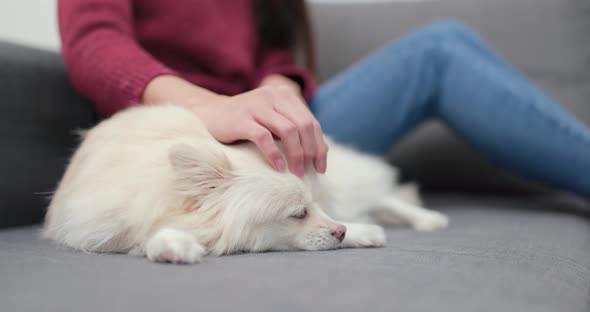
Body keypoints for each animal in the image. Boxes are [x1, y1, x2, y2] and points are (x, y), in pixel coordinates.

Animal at [44, 104, 450, 264]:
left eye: (312, 206)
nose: (339, 231)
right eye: (298, 213)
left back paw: (425, 218)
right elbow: (151, 236)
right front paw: (173, 246)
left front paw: (360, 232)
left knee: (381, 195)